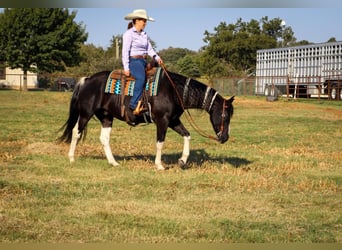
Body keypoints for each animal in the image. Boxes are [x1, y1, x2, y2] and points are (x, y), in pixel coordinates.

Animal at [59, 67, 235, 170]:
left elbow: (187, 135)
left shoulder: (173, 121)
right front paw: (159, 165)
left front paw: (182, 160)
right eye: (224, 115)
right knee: (76, 132)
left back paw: (113, 162)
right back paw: (71, 158)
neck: (174, 90)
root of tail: (87, 80)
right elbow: (160, 143)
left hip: (106, 117)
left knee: (104, 139)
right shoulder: (163, 121)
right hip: (85, 114)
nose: (225, 137)